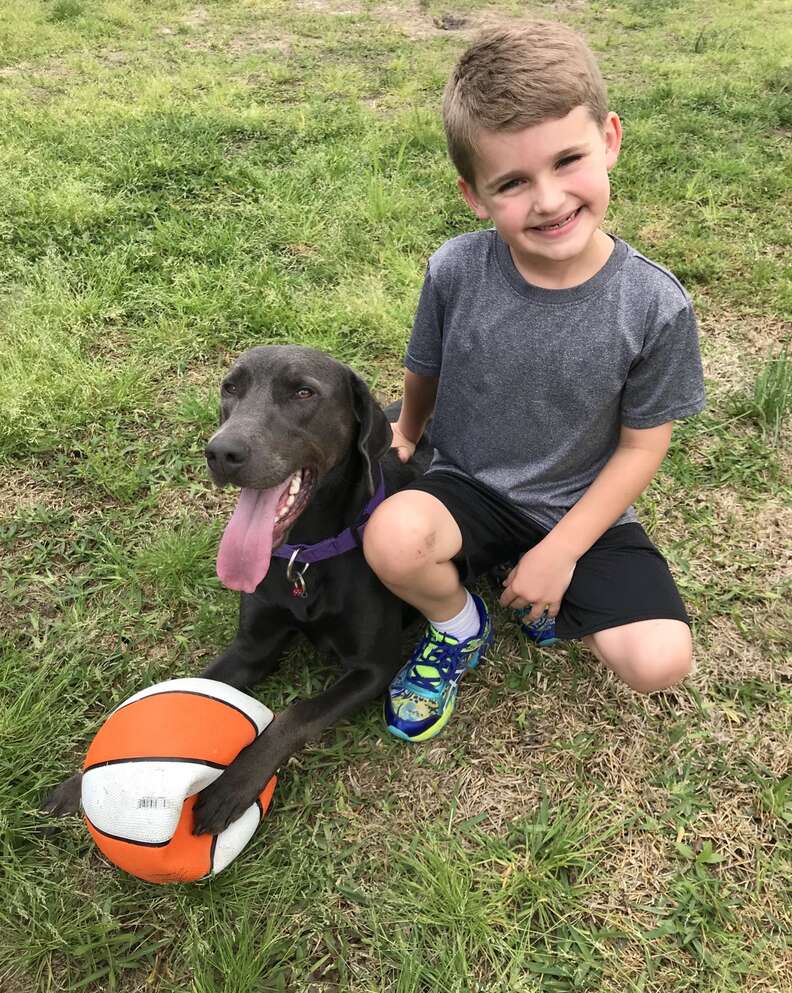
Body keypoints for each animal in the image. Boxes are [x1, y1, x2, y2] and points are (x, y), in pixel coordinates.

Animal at [41, 344, 434, 832]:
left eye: (303, 392)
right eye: (230, 388)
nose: (222, 452)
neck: (306, 556)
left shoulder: (373, 667)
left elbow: (297, 714)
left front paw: (233, 785)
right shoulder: (251, 648)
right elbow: (185, 689)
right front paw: (83, 781)